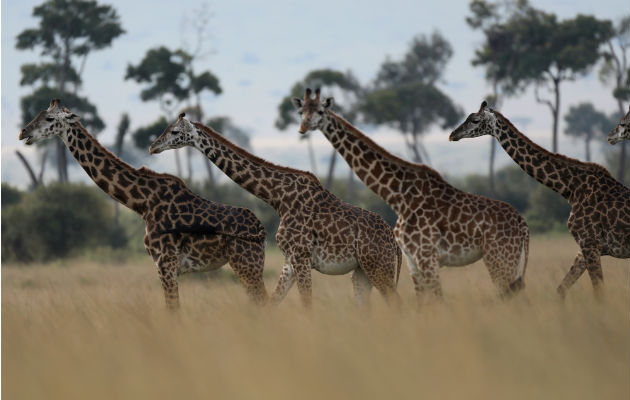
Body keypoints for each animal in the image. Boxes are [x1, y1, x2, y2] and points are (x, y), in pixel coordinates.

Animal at [17, 98, 270, 308]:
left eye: (50, 118)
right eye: (39, 113)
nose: (23, 132)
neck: (142, 203)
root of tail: (261, 229)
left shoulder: (165, 263)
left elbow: (173, 312)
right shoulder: (167, 266)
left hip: (246, 263)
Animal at [151, 113, 402, 310]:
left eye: (174, 131)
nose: (153, 147)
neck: (278, 198)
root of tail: (395, 244)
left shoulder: (302, 256)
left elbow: (307, 305)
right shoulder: (290, 260)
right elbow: (272, 302)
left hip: (379, 266)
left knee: (397, 305)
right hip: (362, 271)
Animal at [294, 88, 532, 304]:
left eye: (320, 112)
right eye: (301, 111)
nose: (302, 127)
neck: (398, 195)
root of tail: (524, 226)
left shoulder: (426, 256)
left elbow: (438, 300)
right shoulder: (412, 260)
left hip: (500, 258)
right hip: (508, 259)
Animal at [452, 101, 628, 298]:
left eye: (475, 120)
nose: (453, 135)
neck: (572, 189)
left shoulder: (589, 243)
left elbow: (599, 293)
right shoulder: (586, 248)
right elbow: (561, 289)